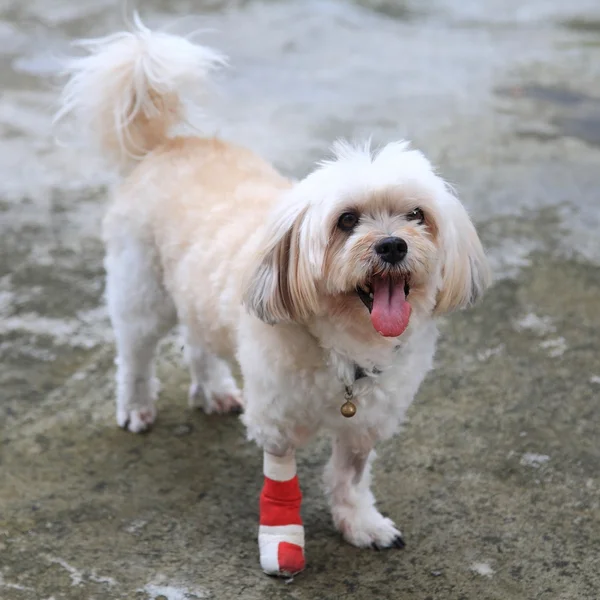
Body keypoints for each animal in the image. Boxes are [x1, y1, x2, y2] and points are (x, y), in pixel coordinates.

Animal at [55, 17, 488, 576]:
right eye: (347, 220)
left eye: (417, 215)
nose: (393, 245)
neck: (344, 343)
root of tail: (169, 145)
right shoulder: (276, 419)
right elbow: (282, 481)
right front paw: (283, 543)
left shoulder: (366, 423)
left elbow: (349, 477)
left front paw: (360, 523)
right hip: (141, 290)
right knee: (135, 353)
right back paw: (135, 406)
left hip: (196, 291)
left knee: (198, 340)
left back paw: (214, 389)